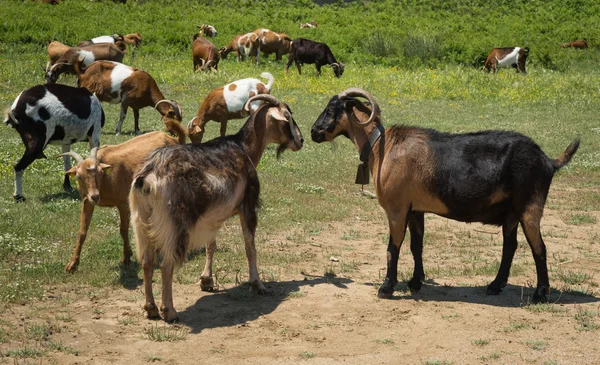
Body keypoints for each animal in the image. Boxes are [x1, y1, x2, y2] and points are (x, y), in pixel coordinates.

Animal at [60, 118, 188, 272]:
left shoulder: (122, 203)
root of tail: (175, 140)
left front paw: (126, 257)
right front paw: (72, 264)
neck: (105, 181)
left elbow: (123, 229)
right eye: (79, 176)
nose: (95, 196)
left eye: (100, 173)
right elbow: (82, 232)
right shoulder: (87, 201)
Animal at [128, 94, 302, 322]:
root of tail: (148, 176)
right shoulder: (248, 205)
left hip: (142, 221)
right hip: (175, 223)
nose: (301, 141)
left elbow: (211, 245)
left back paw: (151, 308)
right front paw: (257, 284)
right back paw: (169, 311)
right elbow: (250, 246)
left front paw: (206, 280)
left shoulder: (212, 217)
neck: (243, 147)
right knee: (166, 263)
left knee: (147, 262)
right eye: (287, 117)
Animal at [312, 87, 580, 302]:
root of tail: (548, 161)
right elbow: (416, 246)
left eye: (331, 109)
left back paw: (540, 294)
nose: (314, 131)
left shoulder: (397, 209)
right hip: (512, 213)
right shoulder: (415, 209)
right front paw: (415, 283)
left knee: (539, 248)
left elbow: (393, 247)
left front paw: (387, 288)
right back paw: (495, 286)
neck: (381, 147)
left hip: (531, 207)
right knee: (510, 246)